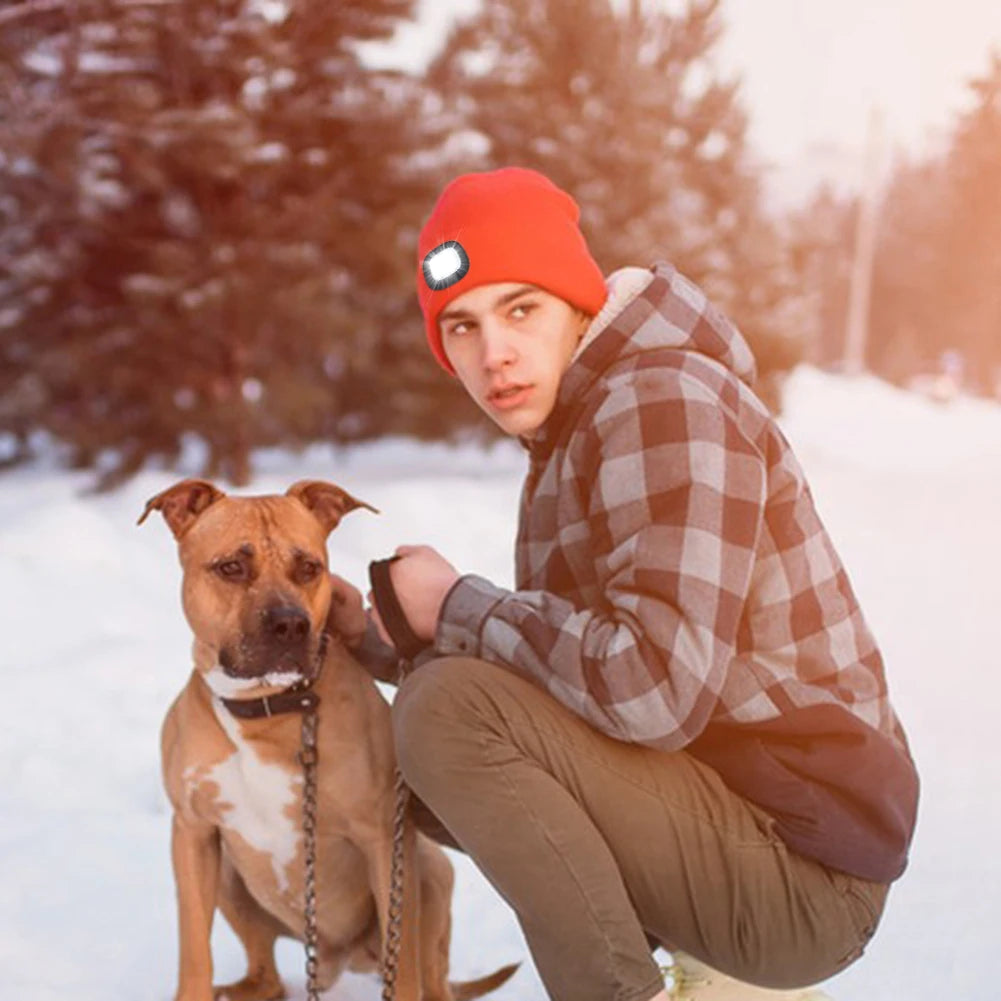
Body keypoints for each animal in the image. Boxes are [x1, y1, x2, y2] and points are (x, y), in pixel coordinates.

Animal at [141, 478, 516, 1001]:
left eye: (309, 567)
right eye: (231, 567)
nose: (290, 624)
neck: (268, 708)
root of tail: (340, 962)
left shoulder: (383, 838)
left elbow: (405, 963)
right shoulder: (192, 833)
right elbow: (195, 950)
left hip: (433, 869)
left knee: (430, 975)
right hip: (229, 876)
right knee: (269, 976)